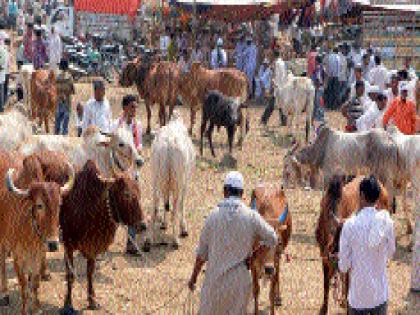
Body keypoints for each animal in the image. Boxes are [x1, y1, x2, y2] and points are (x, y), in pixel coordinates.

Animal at [0, 152, 74, 314]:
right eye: (39, 205)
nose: (53, 244)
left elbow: (34, 283)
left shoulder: (39, 255)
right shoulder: (18, 257)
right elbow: (23, 287)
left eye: (59, 204)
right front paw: (24, 309)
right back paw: (4, 293)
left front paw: (36, 308)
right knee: (2, 262)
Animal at [60, 160, 147, 312]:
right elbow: (70, 274)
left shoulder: (92, 247)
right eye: (126, 194)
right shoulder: (68, 245)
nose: (142, 225)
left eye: (139, 192)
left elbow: (90, 272)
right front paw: (68, 303)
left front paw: (92, 300)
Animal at [249, 183, 292, 315]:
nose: (268, 269)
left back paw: (279, 298)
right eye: (260, 242)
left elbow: (271, 293)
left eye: (278, 242)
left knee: (277, 274)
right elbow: (256, 290)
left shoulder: (275, 261)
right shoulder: (253, 264)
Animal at [316, 177, 392, 314]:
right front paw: (323, 308)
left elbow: (346, 282)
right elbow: (326, 284)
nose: (334, 255)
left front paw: (346, 304)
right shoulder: (324, 258)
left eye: (344, 238)